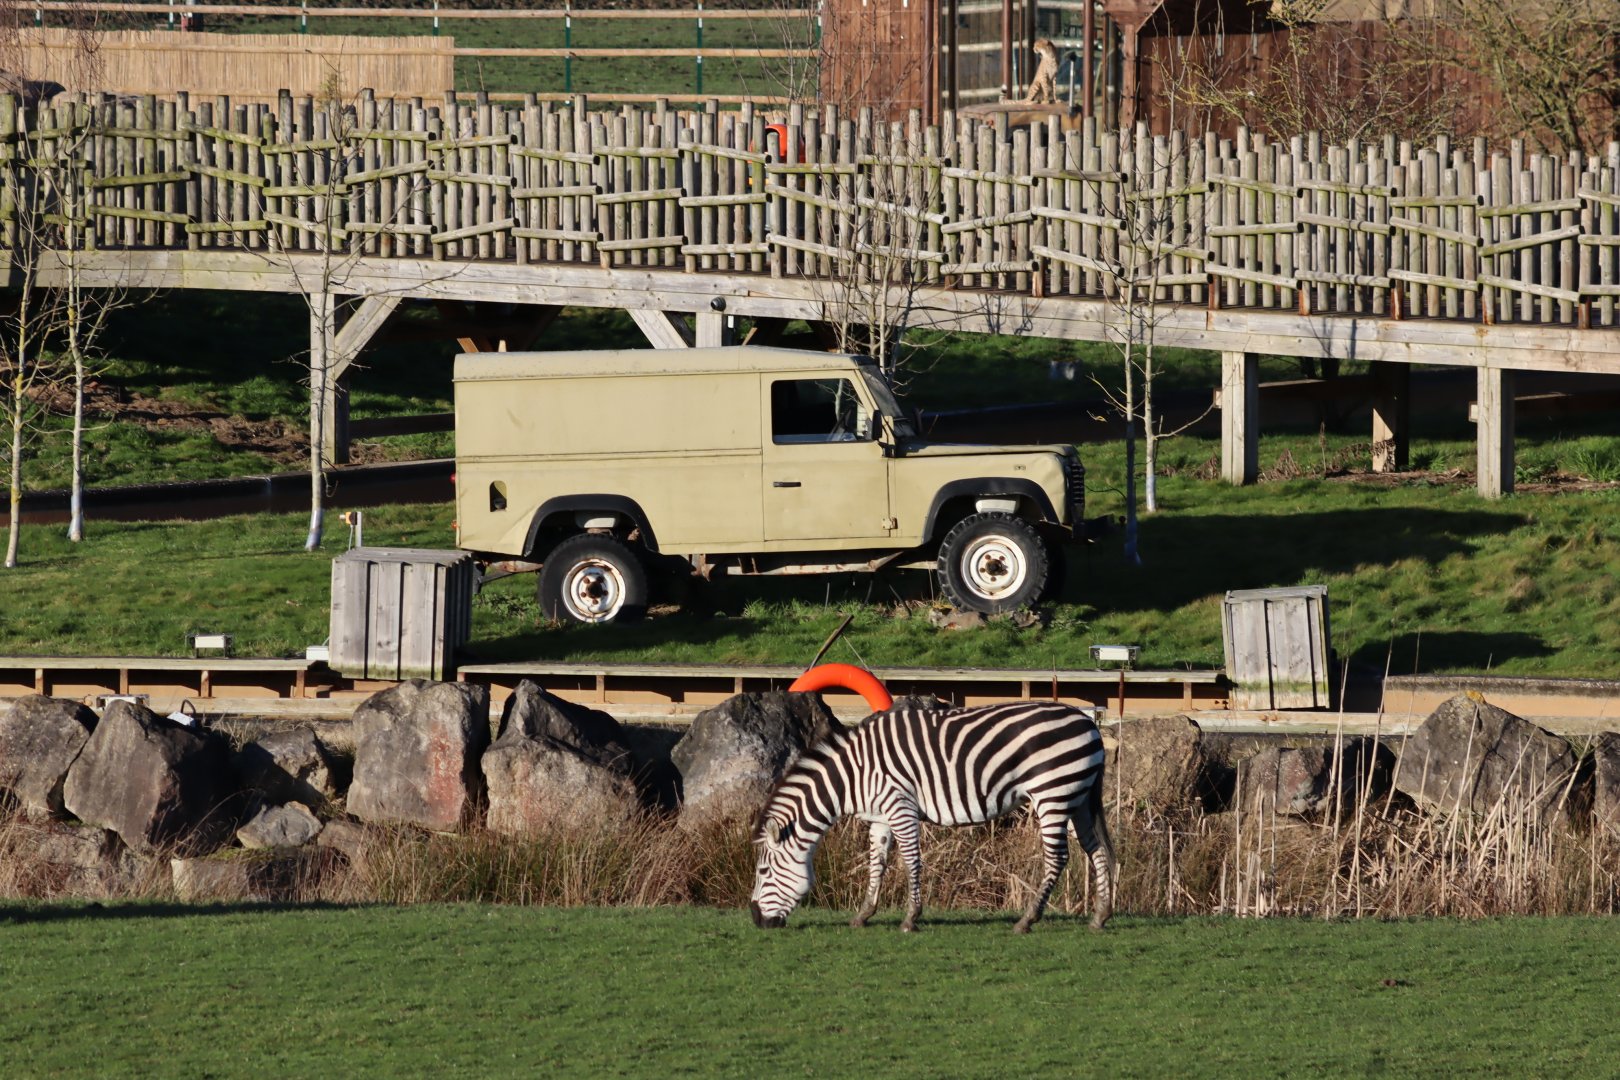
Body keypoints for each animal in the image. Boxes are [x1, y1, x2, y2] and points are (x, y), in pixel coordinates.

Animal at [750, 700, 1114, 933]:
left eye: (763, 871)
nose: (755, 919)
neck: (854, 774)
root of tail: (1089, 723)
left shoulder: (900, 806)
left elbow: (911, 861)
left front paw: (911, 918)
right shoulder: (880, 816)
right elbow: (876, 863)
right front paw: (864, 914)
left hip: (1052, 794)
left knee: (1058, 857)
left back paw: (1027, 920)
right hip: (1079, 798)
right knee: (1096, 850)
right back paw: (1100, 916)